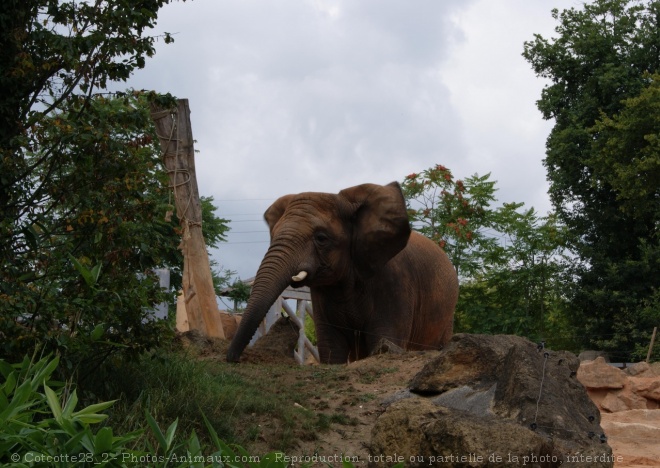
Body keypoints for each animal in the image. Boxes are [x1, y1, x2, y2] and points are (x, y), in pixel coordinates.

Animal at [227, 181, 458, 364]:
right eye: (272, 235)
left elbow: (385, 339)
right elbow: (331, 346)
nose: (233, 358)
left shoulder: (395, 283)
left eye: (321, 238)